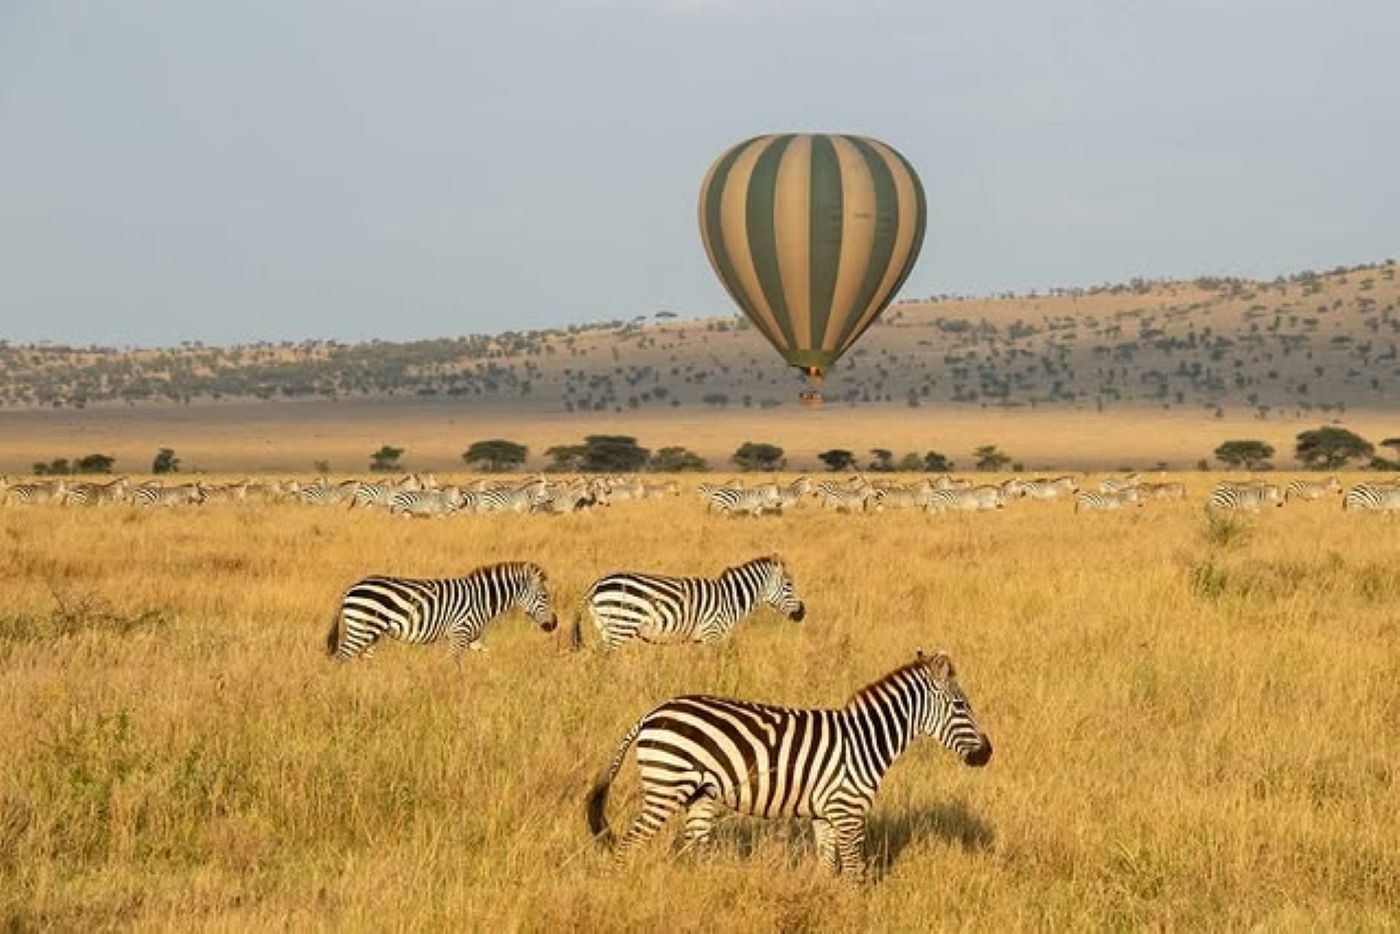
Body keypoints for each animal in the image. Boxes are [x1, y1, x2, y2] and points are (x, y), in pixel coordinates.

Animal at [326, 562, 557, 660]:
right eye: (545, 597)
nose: (554, 625)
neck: (482, 599)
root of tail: (350, 589)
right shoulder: (459, 634)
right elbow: (452, 664)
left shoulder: (472, 638)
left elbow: (488, 655)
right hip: (361, 629)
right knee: (340, 657)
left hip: (370, 634)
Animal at [571, 555, 804, 651]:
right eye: (789, 585)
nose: (802, 613)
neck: (731, 598)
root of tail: (596, 585)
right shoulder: (712, 634)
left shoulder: (700, 639)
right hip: (621, 624)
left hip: (606, 626)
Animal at [585, 651, 992, 878]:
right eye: (961, 706)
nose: (987, 754)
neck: (865, 741)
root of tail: (651, 714)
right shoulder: (848, 811)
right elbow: (854, 872)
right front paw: (854, 911)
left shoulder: (826, 814)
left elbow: (828, 868)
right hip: (667, 786)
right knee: (629, 845)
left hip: (699, 794)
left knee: (696, 849)